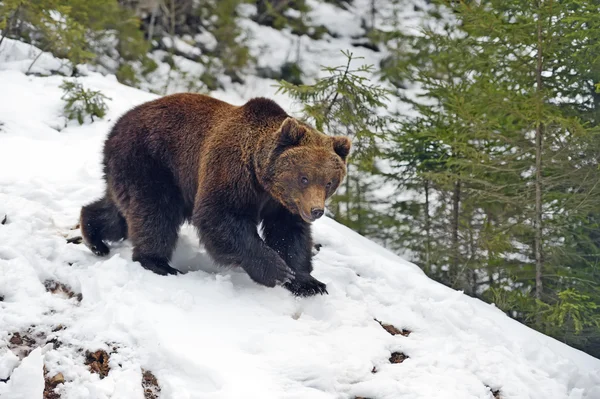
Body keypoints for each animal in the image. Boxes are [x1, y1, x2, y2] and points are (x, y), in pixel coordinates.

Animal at [80, 94, 352, 296]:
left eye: (329, 182)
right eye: (304, 177)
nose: (316, 211)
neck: (262, 180)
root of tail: (115, 126)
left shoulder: (282, 204)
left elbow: (289, 234)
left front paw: (308, 282)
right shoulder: (231, 173)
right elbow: (219, 217)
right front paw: (276, 269)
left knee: (118, 213)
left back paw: (94, 237)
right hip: (152, 162)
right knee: (155, 214)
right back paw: (158, 263)